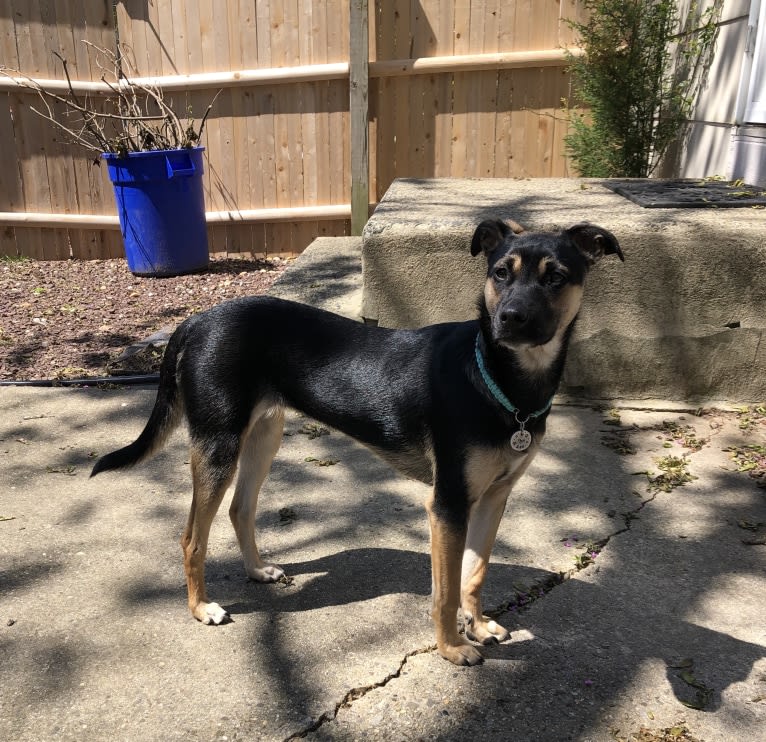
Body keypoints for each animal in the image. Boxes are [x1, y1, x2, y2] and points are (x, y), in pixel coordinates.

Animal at [94, 218, 624, 664]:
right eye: (500, 273)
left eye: (556, 277)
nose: (510, 319)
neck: (498, 380)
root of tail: (196, 321)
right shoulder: (448, 504)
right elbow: (446, 589)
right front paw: (452, 647)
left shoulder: (494, 497)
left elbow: (475, 571)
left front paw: (478, 624)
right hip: (218, 444)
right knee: (192, 539)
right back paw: (201, 607)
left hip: (264, 436)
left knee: (240, 509)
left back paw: (258, 571)